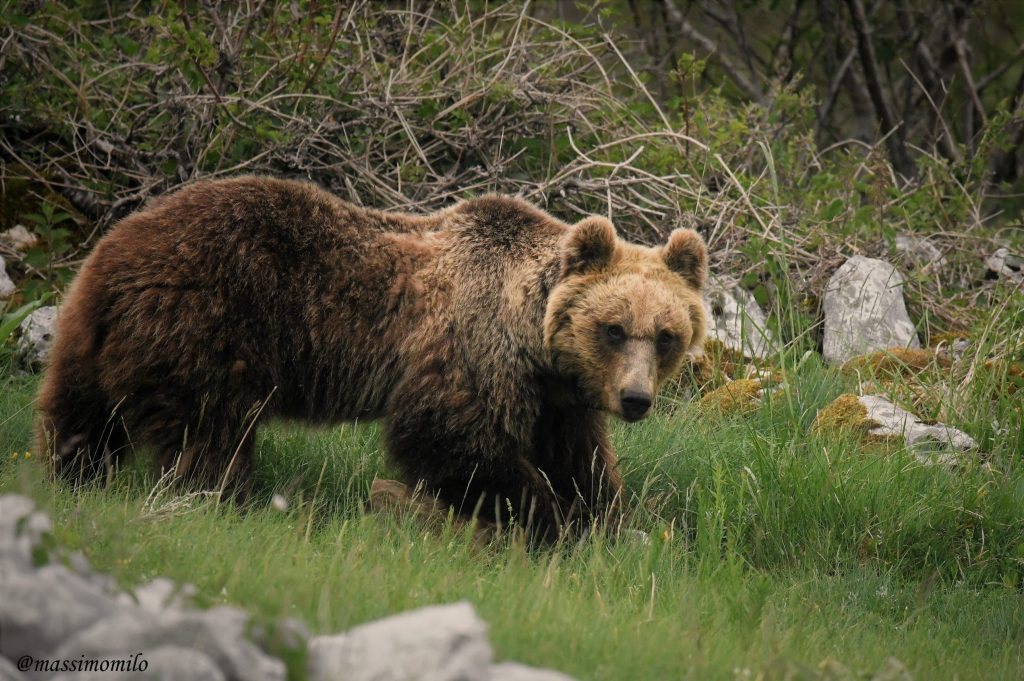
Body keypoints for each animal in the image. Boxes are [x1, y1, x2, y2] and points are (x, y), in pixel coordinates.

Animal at [37, 176, 708, 540]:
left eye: (666, 334)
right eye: (614, 328)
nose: (636, 399)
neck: (530, 338)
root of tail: (114, 249)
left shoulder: (555, 396)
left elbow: (580, 458)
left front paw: (602, 519)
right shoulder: (469, 348)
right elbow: (453, 436)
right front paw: (541, 515)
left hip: (92, 339)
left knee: (81, 416)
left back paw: (73, 476)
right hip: (206, 322)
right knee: (208, 432)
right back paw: (223, 498)